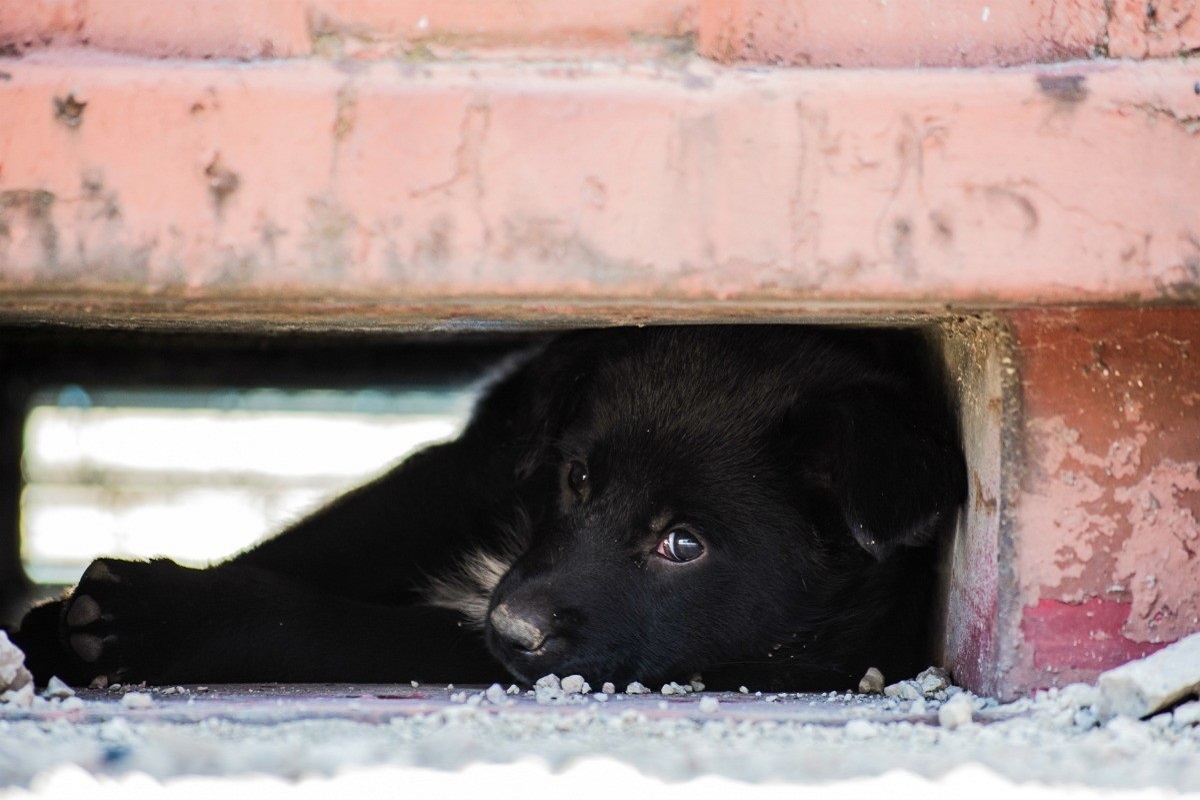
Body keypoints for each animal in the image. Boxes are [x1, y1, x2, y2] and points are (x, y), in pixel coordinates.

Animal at [14, 328, 969, 690]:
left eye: (683, 544)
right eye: (577, 480)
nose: (512, 626)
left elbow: (334, 626)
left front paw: (145, 618)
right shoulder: (462, 473)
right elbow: (321, 540)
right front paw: (61, 625)